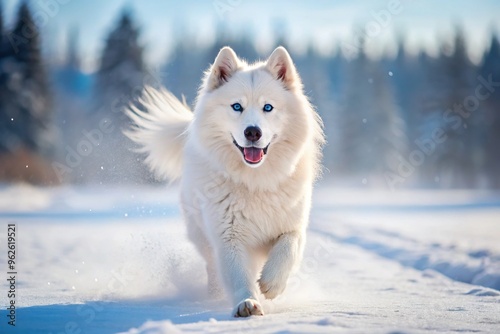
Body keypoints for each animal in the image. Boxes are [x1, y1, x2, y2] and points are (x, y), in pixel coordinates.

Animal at [126, 45, 324, 318]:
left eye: (268, 107)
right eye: (237, 106)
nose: (253, 132)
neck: (255, 181)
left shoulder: (293, 225)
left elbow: (288, 248)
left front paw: (271, 283)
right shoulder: (228, 236)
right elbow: (238, 273)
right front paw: (247, 303)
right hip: (200, 233)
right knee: (212, 266)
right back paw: (215, 294)